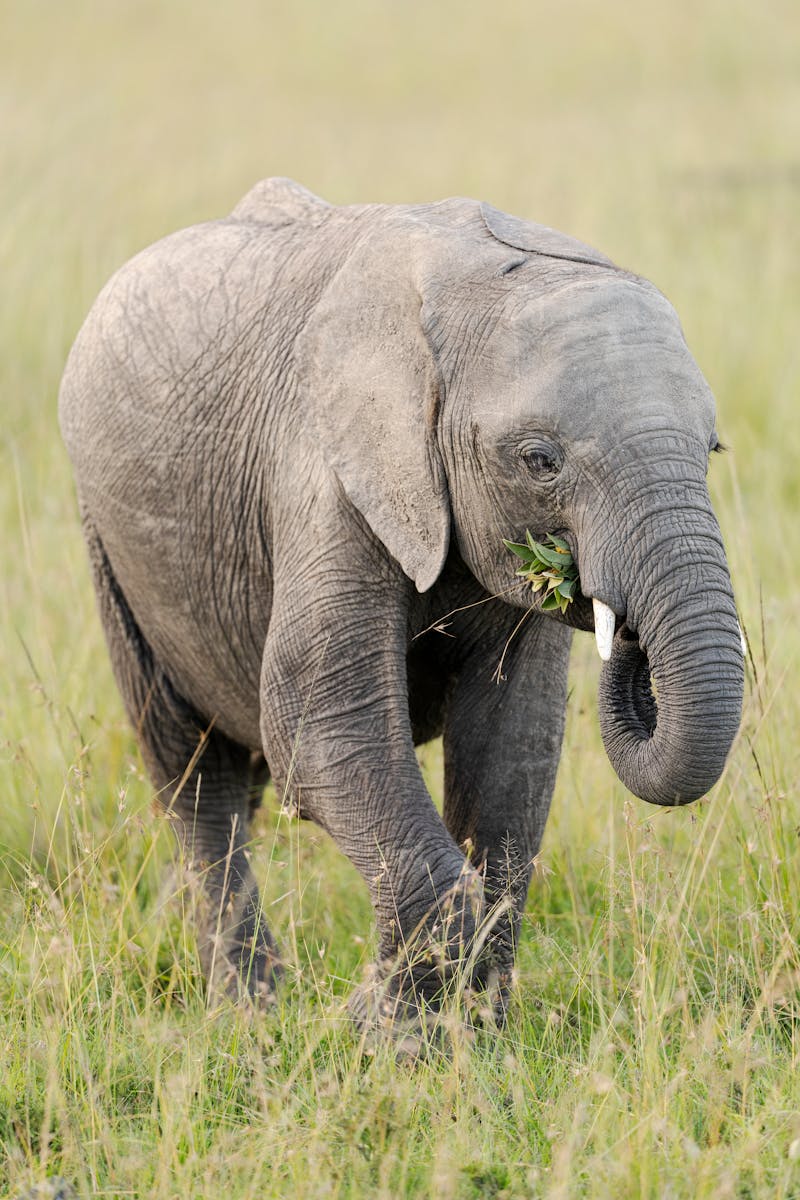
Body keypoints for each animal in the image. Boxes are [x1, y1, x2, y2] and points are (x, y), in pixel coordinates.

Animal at [58, 177, 744, 1025]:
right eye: (539, 461)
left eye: (711, 449)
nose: (623, 630)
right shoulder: (324, 468)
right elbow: (320, 725)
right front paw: (384, 1031)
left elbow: (514, 748)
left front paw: (473, 1030)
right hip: (109, 544)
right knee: (191, 771)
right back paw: (251, 1008)